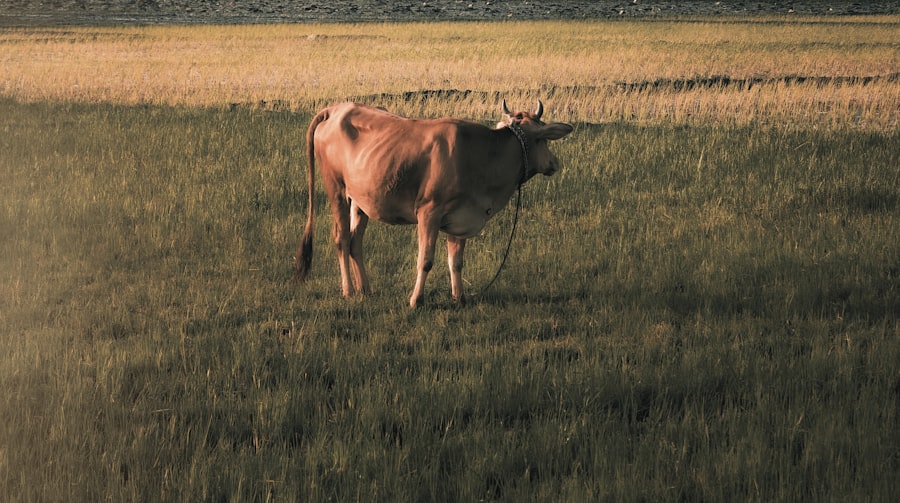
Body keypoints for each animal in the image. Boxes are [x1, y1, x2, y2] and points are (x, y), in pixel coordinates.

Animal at [294, 100, 573, 308]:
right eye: (543, 139)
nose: (554, 163)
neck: (479, 156)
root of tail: (335, 109)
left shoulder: (462, 216)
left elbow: (456, 261)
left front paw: (459, 298)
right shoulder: (429, 212)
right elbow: (425, 259)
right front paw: (416, 300)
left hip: (361, 200)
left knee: (355, 241)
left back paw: (366, 289)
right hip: (337, 189)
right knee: (341, 239)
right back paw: (349, 290)